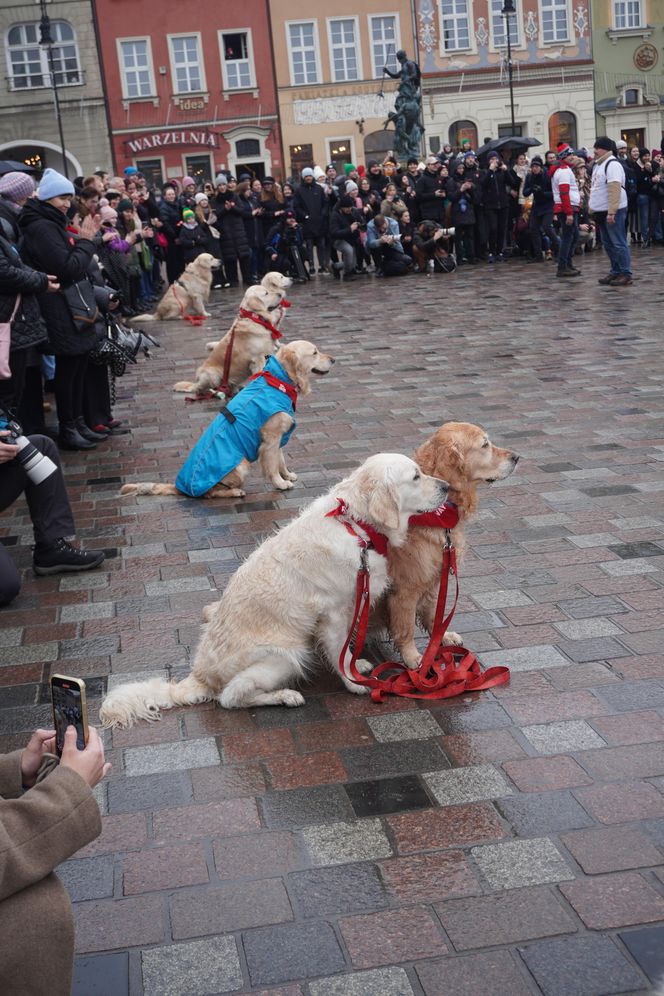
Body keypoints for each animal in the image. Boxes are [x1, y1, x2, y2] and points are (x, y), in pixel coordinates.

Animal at [100, 452, 452, 724]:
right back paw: (285, 696)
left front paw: (359, 664)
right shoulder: (334, 612)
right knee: (230, 697)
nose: (447, 486)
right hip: (285, 654)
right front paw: (353, 682)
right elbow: (339, 649)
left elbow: (347, 649)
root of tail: (199, 676)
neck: (356, 525)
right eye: (416, 476)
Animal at [121, 340, 332, 498]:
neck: (277, 380)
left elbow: (281, 460)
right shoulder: (271, 438)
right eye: (315, 352)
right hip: (240, 465)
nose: (334, 359)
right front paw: (280, 483)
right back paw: (235, 492)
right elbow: (272, 465)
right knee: (210, 493)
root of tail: (181, 488)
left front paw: (287, 475)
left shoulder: (279, 436)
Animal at [384, 422, 520, 668]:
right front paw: (413, 657)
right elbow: (406, 627)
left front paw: (442, 637)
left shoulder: (433, 579)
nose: (517, 457)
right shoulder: (405, 588)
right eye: (485, 444)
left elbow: (434, 614)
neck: (437, 513)